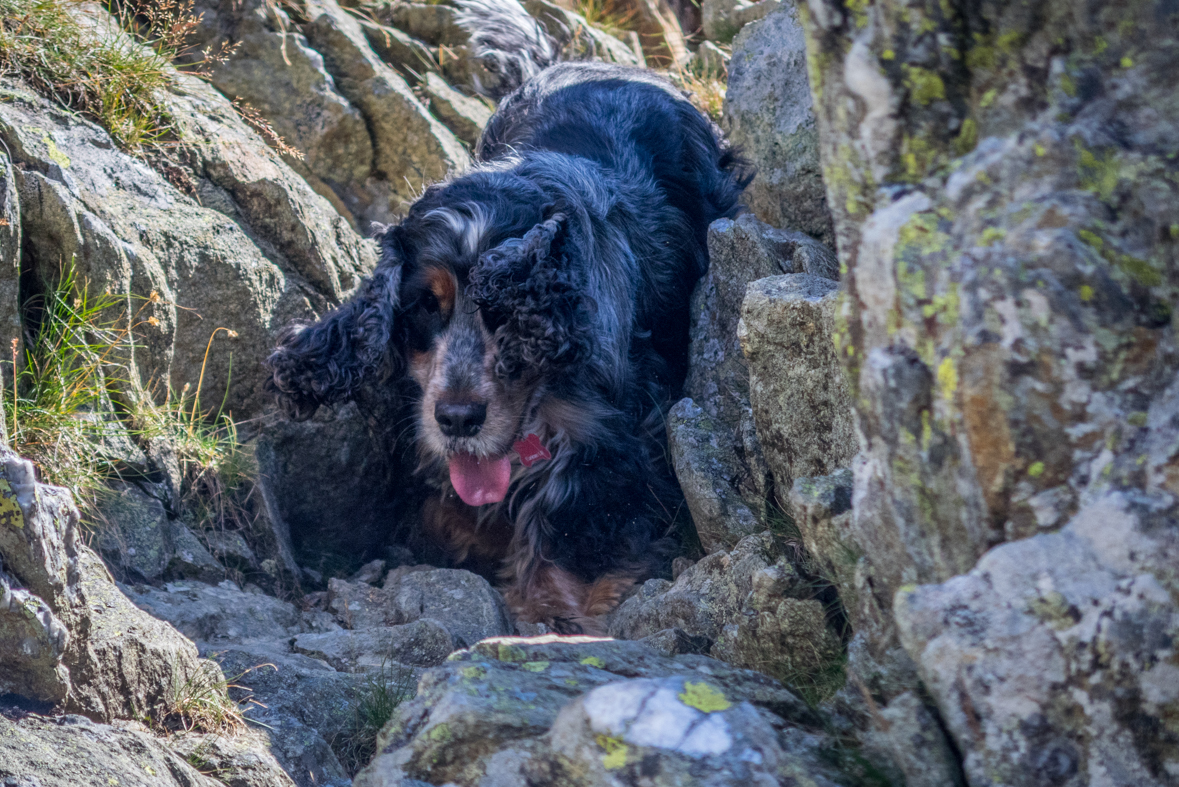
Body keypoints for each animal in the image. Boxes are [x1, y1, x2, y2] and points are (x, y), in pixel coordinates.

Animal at [265, 0, 745, 631]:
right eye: (425, 306)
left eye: (508, 313)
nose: (458, 419)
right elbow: (452, 511)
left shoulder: (611, 431)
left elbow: (574, 524)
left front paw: (554, 610)